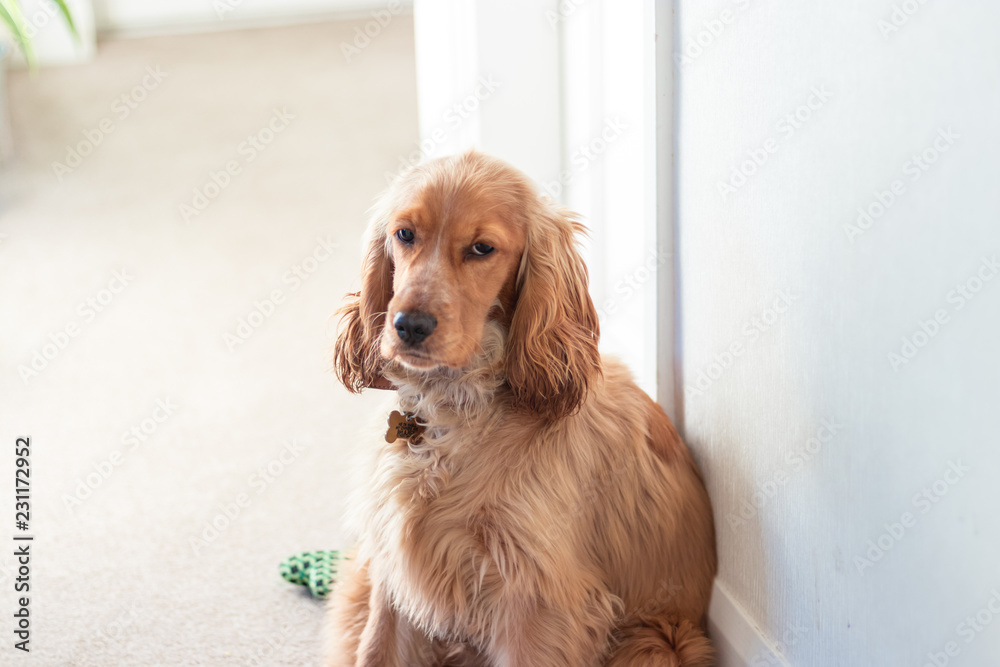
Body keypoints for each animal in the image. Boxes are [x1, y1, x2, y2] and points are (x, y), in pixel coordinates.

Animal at [324, 153, 716, 667]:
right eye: (405, 234)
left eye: (482, 248)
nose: (409, 325)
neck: (455, 411)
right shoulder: (394, 573)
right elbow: (375, 651)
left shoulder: (537, 603)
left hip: (657, 641)